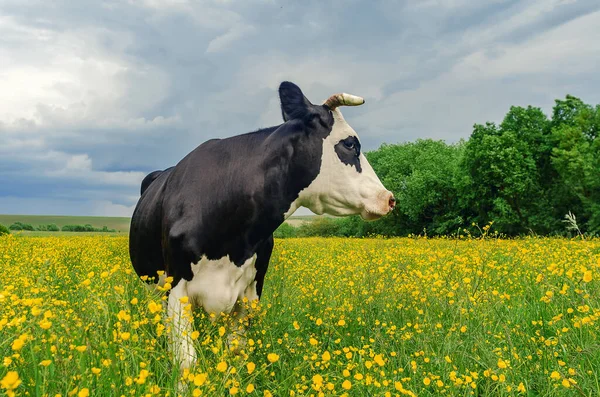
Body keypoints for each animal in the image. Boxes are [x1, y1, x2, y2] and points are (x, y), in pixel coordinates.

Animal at [127, 80, 394, 372]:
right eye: (350, 144)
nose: (389, 198)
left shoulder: (251, 290)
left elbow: (235, 352)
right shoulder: (177, 288)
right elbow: (187, 361)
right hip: (152, 286)